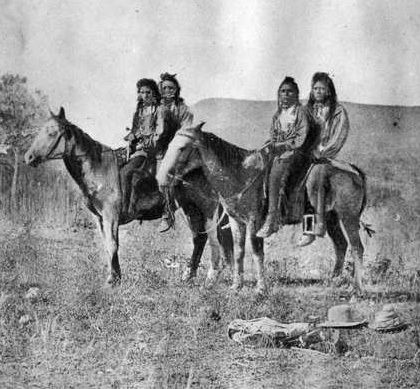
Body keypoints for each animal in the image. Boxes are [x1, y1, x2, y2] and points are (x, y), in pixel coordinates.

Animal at [25, 108, 233, 284]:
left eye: (52, 133)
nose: (28, 157)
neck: (98, 168)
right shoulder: (100, 218)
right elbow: (109, 245)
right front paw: (116, 277)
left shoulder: (111, 216)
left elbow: (112, 244)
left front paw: (112, 280)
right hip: (190, 208)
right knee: (199, 239)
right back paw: (188, 277)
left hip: (208, 209)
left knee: (214, 240)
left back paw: (210, 279)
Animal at [157, 123, 368, 292]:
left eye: (182, 147)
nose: (161, 178)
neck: (240, 174)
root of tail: (353, 170)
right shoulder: (236, 221)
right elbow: (239, 251)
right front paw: (236, 286)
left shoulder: (254, 222)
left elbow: (257, 252)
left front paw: (260, 287)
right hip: (332, 217)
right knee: (341, 245)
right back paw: (334, 280)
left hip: (348, 216)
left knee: (357, 247)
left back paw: (357, 289)